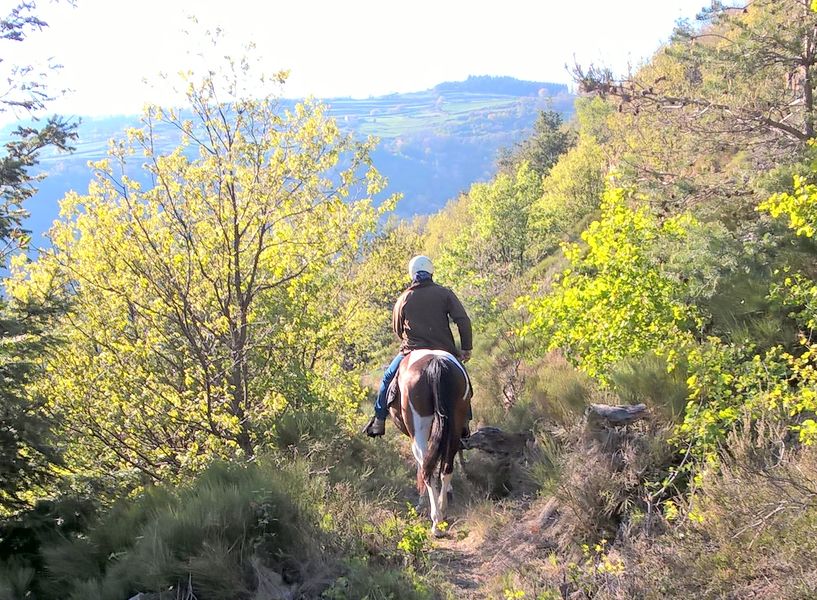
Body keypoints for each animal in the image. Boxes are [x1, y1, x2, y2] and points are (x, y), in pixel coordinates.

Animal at [388, 349, 471, 537]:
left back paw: (436, 522)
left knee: (427, 469)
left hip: (419, 429)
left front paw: (421, 501)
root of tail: (435, 362)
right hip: (455, 423)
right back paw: (442, 509)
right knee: (446, 468)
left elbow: (421, 466)